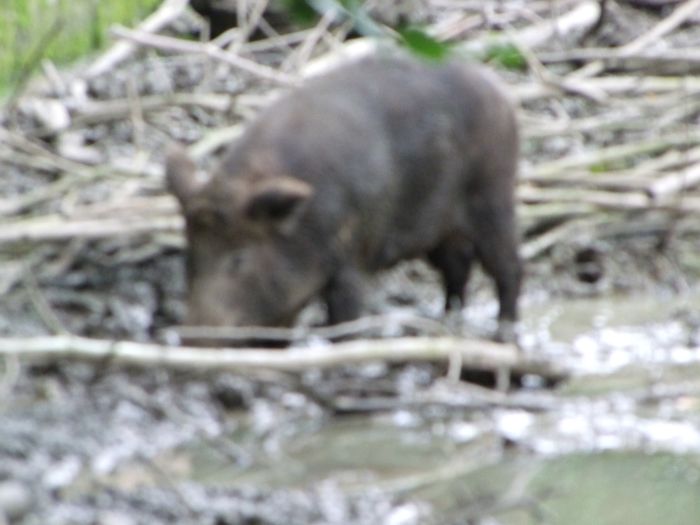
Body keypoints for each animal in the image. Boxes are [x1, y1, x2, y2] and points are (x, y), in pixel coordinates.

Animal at [167, 55, 524, 342]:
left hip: (494, 194)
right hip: (440, 231)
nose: (192, 337)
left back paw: (504, 332)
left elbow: (344, 317)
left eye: (238, 258)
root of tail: (500, 95)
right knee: (457, 267)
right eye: (190, 255)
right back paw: (448, 321)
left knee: (508, 266)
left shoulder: (352, 256)